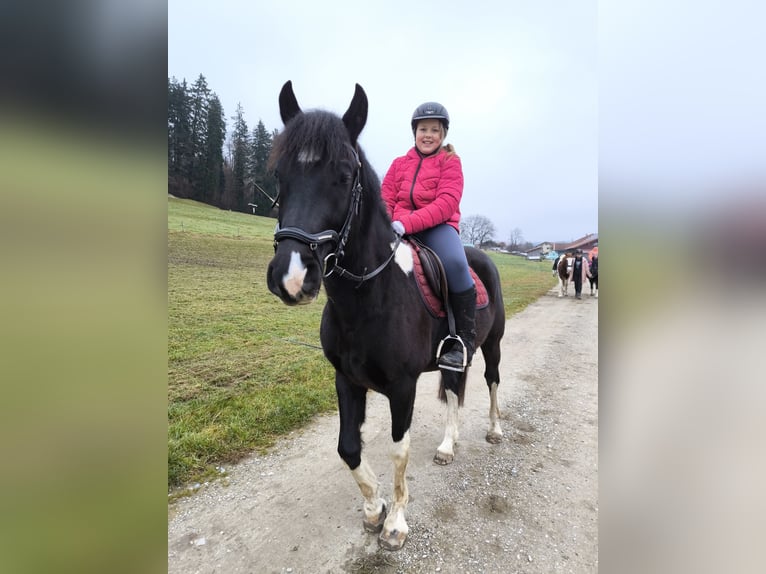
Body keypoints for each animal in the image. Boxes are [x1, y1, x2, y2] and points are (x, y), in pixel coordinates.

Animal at [266, 81, 506, 550]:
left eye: (344, 175)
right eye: (280, 174)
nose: (291, 276)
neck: (369, 299)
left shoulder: (402, 387)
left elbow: (399, 450)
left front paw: (394, 524)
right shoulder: (346, 379)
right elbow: (347, 448)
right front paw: (373, 508)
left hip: (491, 345)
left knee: (490, 382)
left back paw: (494, 431)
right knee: (455, 390)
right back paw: (448, 446)